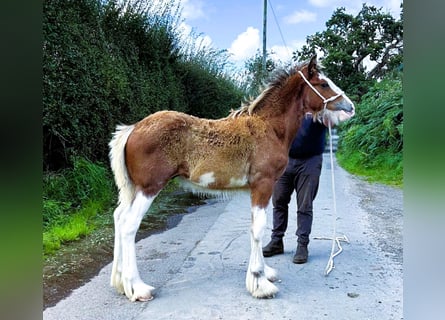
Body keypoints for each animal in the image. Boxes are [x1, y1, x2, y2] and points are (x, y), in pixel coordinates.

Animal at [107, 55, 354, 302]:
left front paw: (265, 273)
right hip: (149, 188)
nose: (349, 106)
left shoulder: (263, 188)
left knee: (119, 218)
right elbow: (258, 228)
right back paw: (137, 287)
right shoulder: (263, 185)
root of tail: (132, 129)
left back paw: (120, 283)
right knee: (129, 225)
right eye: (323, 84)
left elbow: (256, 226)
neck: (269, 127)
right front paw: (259, 283)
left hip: (133, 189)